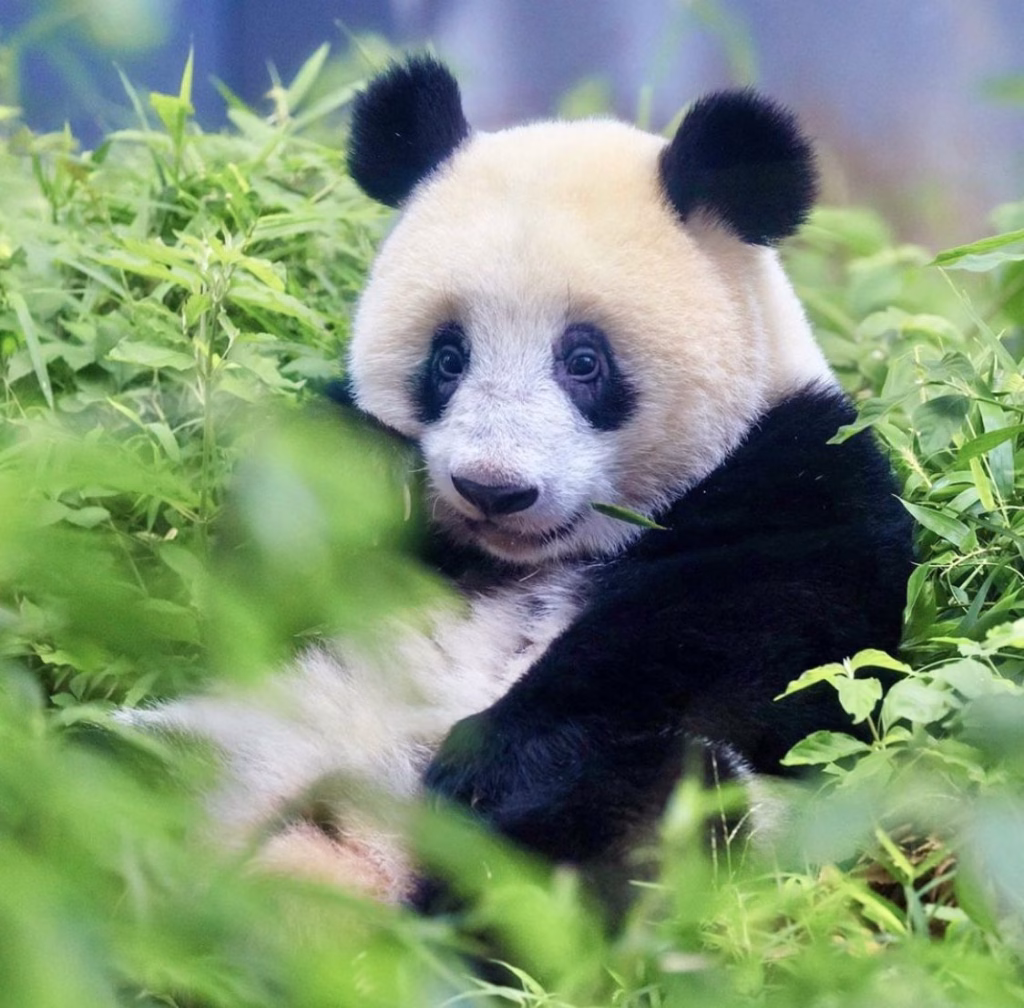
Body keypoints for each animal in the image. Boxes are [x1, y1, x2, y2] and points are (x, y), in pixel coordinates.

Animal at [126, 55, 914, 908]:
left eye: (584, 361)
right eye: (448, 357)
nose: (491, 489)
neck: (535, 557)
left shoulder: (798, 475)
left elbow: (766, 649)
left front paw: (490, 758)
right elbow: (243, 604)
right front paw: (372, 486)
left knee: (619, 805)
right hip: (230, 737)